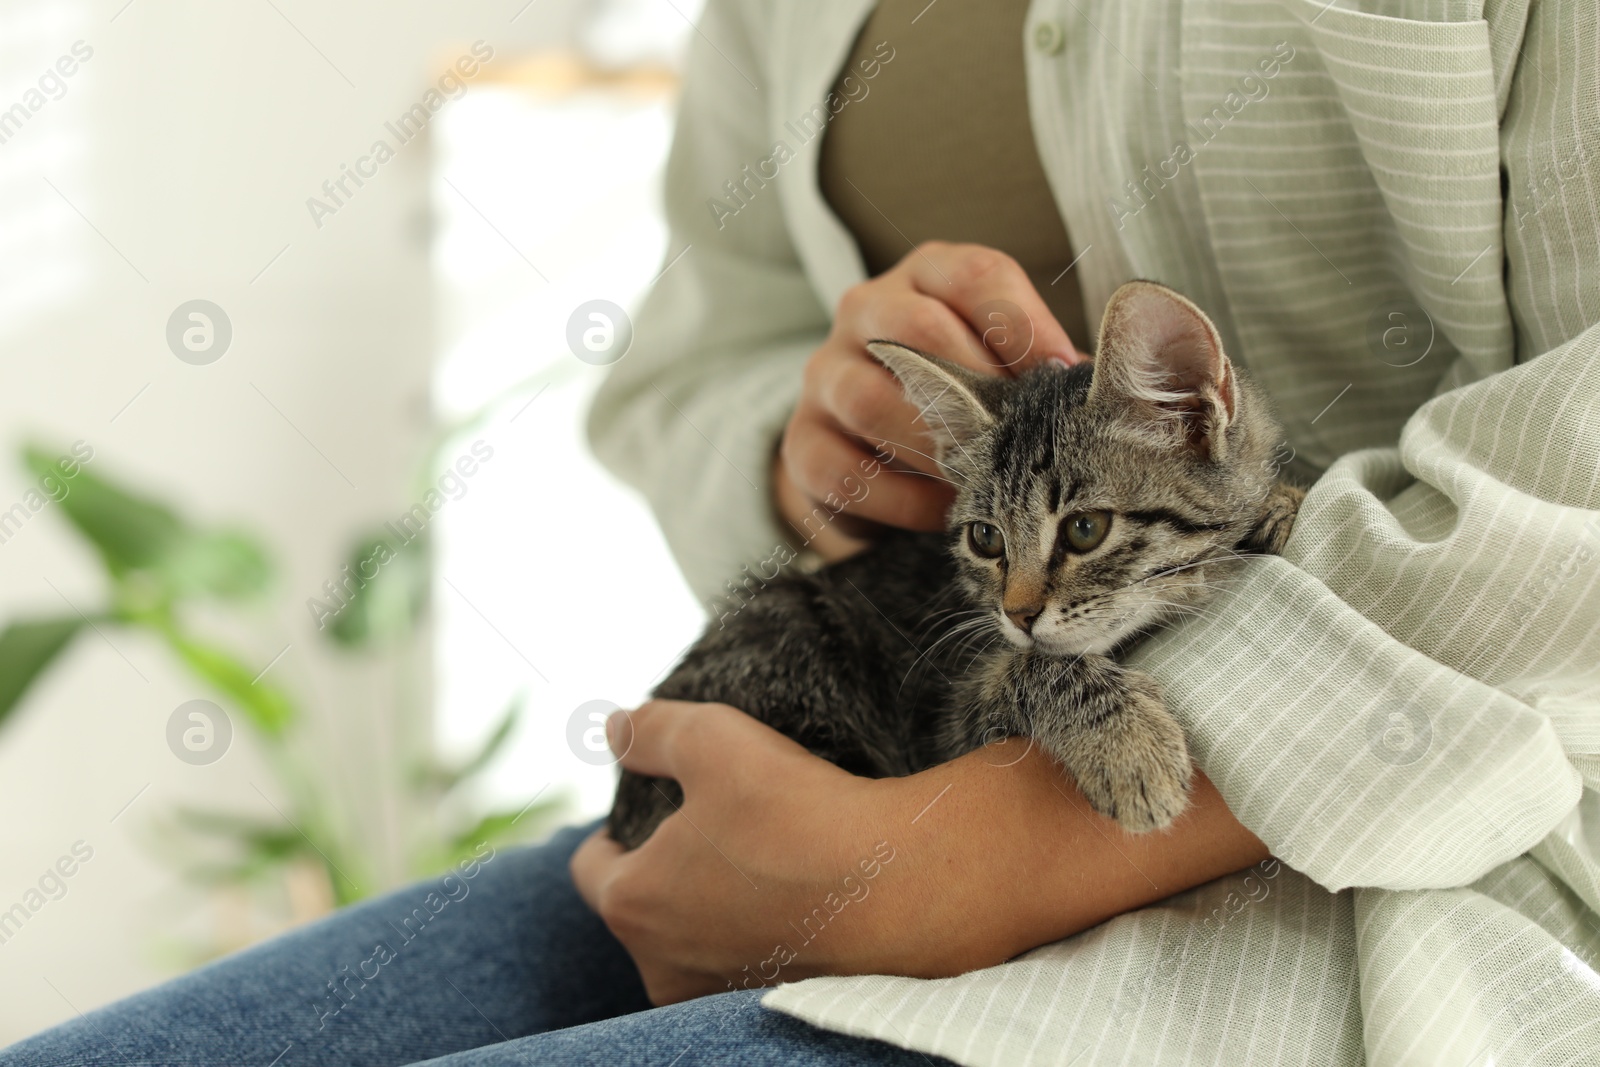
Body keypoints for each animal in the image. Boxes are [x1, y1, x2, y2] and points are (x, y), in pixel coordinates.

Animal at [604, 279, 1305, 844]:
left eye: (1085, 530)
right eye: (986, 540)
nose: (1018, 614)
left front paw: (1280, 505)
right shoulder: (948, 730)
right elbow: (1031, 670)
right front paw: (1128, 748)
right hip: (785, 628)